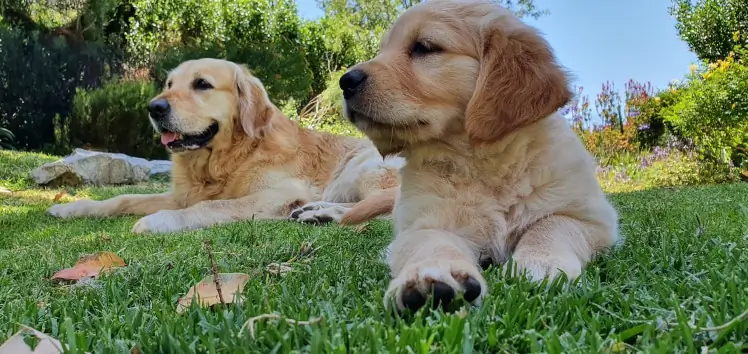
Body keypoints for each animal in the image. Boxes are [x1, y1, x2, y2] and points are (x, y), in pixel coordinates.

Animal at [48, 57, 404, 234]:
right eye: (169, 84)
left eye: (202, 84)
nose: (154, 108)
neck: (227, 159)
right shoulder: (182, 194)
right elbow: (122, 198)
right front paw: (72, 208)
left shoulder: (281, 192)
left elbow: (212, 206)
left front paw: (162, 220)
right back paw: (315, 212)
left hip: (367, 168)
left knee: (386, 211)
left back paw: (324, 214)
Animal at [338, 0, 620, 310]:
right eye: (382, 50)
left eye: (424, 47)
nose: (345, 81)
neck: (479, 160)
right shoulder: (421, 223)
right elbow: (432, 241)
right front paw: (431, 276)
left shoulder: (591, 217)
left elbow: (550, 225)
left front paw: (540, 264)